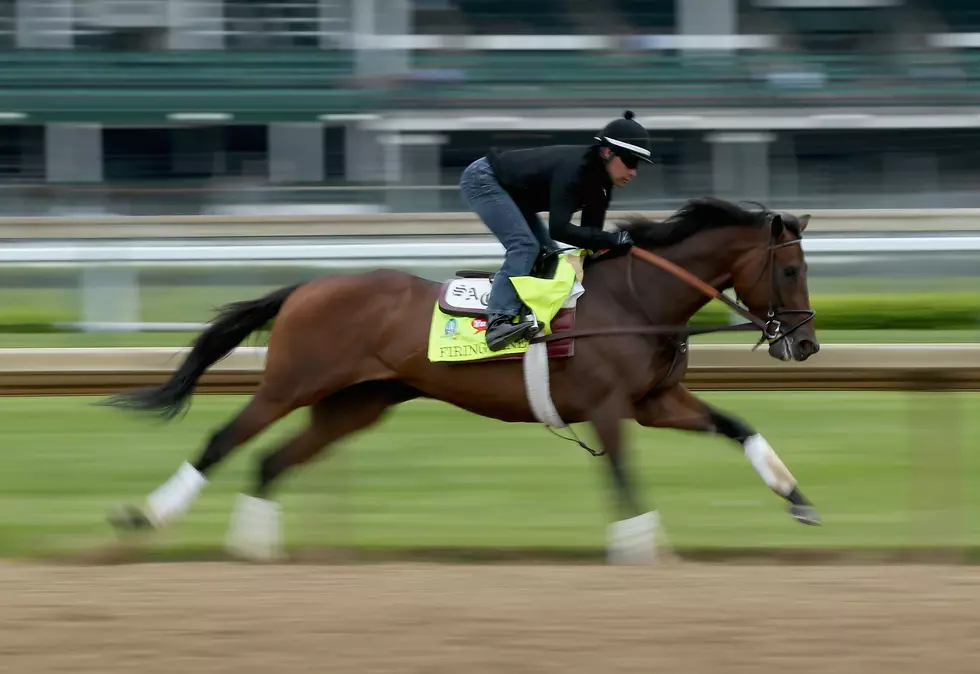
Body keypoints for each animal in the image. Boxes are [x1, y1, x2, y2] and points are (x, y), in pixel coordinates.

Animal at [103, 196, 824, 560]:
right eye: (790, 270)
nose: (807, 343)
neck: (636, 300)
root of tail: (308, 285)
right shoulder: (611, 406)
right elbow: (624, 476)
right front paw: (644, 547)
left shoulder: (655, 399)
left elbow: (738, 426)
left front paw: (798, 499)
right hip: (293, 383)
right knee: (224, 441)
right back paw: (148, 516)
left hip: (358, 403)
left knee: (272, 461)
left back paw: (253, 546)